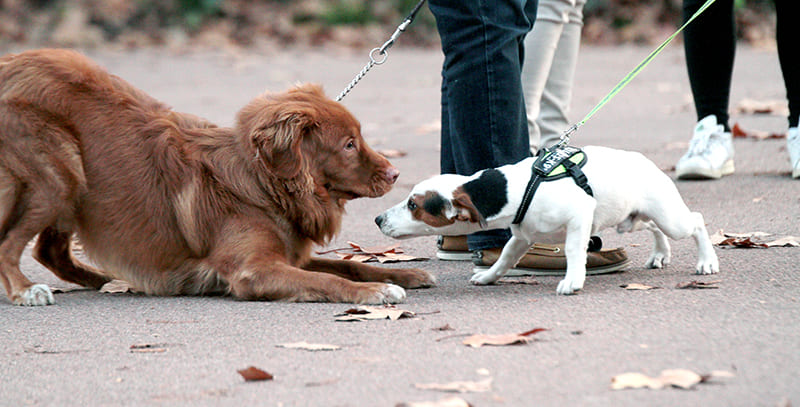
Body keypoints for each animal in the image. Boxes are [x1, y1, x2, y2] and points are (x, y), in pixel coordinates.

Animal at [0, 48, 434, 306]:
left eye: (358, 137)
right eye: (348, 144)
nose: (395, 173)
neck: (262, 185)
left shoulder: (289, 255)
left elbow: (350, 266)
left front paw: (402, 273)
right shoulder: (254, 270)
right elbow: (331, 281)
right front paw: (375, 291)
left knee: (49, 251)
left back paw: (107, 281)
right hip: (60, 175)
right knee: (10, 244)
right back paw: (25, 290)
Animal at [376, 145, 720, 294]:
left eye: (413, 204)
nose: (378, 219)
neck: (517, 187)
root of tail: (646, 162)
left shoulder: (580, 216)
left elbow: (573, 251)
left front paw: (573, 280)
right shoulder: (521, 236)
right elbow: (504, 258)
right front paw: (489, 276)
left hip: (671, 218)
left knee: (697, 220)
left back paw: (707, 261)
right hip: (632, 218)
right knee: (652, 229)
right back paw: (660, 253)